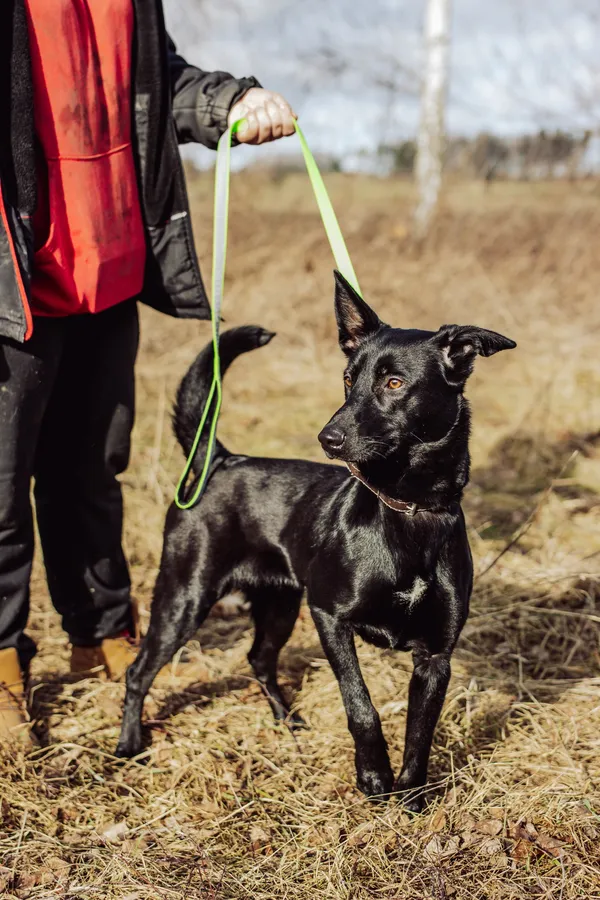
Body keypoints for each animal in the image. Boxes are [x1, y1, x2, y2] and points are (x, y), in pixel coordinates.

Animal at [117, 272, 516, 808]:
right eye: (348, 380)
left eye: (394, 383)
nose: (328, 439)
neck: (407, 512)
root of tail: (222, 458)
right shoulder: (330, 617)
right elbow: (362, 706)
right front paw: (373, 778)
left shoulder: (436, 656)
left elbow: (420, 731)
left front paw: (411, 798)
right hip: (185, 596)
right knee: (139, 671)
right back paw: (128, 746)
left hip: (279, 603)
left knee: (259, 659)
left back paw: (286, 721)